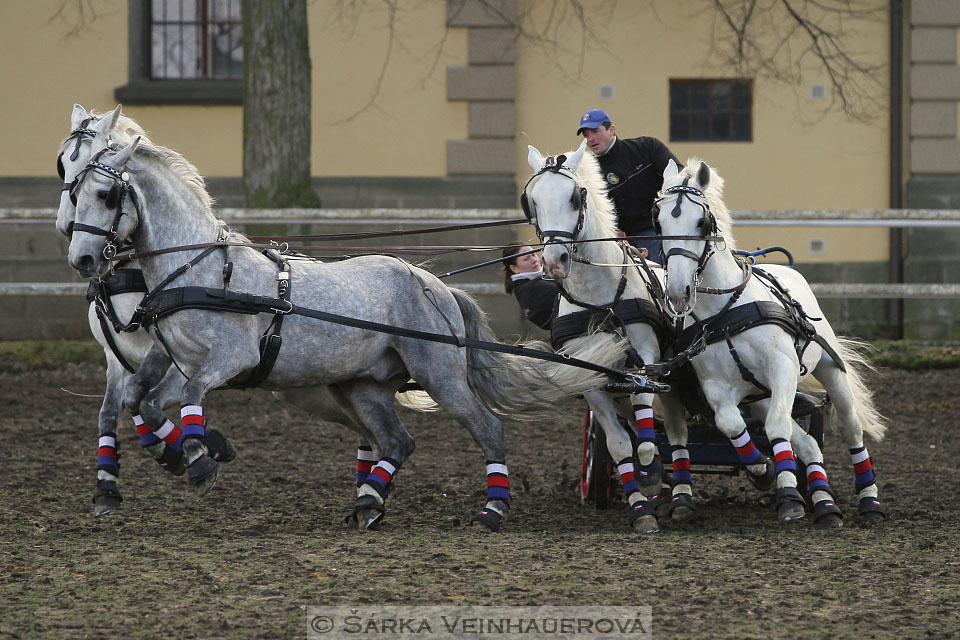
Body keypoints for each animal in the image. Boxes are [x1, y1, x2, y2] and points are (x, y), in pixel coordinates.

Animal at [63, 109, 628, 528]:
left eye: (106, 194)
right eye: (69, 183)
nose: (82, 258)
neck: (199, 267)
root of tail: (434, 285)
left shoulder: (229, 358)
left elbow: (188, 398)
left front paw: (201, 458)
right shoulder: (165, 355)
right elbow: (140, 402)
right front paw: (177, 454)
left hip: (439, 373)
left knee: (486, 427)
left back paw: (492, 508)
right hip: (364, 387)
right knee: (396, 441)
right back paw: (368, 502)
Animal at [656, 159, 888, 524]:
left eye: (701, 222)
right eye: (660, 222)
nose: (679, 292)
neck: (725, 311)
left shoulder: (783, 368)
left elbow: (778, 427)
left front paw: (789, 497)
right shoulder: (717, 388)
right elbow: (733, 425)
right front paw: (765, 471)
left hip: (827, 369)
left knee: (850, 428)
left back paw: (868, 500)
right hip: (760, 393)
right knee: (806, 442)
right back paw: (824, 503)